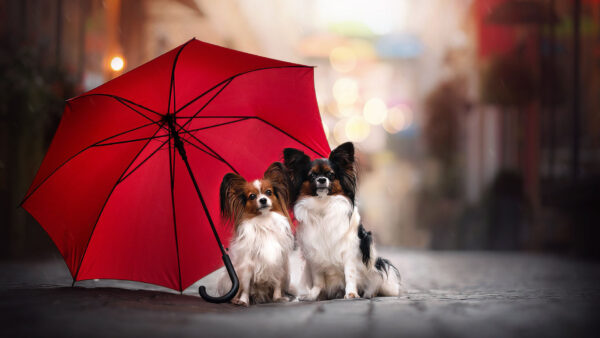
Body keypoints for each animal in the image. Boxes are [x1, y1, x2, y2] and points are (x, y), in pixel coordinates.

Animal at [220, 162, 296, 306]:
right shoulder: (247, 265)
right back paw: (236, 299)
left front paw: (278, 298)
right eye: (252, 196)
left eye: (268, 192)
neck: (264, 221)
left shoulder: (278, 261)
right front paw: (243, 301)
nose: (263, 200)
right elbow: (246, 286)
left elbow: (277, 282)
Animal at [284, 141, 400, 300]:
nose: (322, 179)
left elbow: (349, 274)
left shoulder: (350, 251)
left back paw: (369, 293)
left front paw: (351, 293)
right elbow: (318, 279)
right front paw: (313, 295)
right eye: (312, 175)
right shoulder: (314, 254)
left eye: (331, 175)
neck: (323, 205)